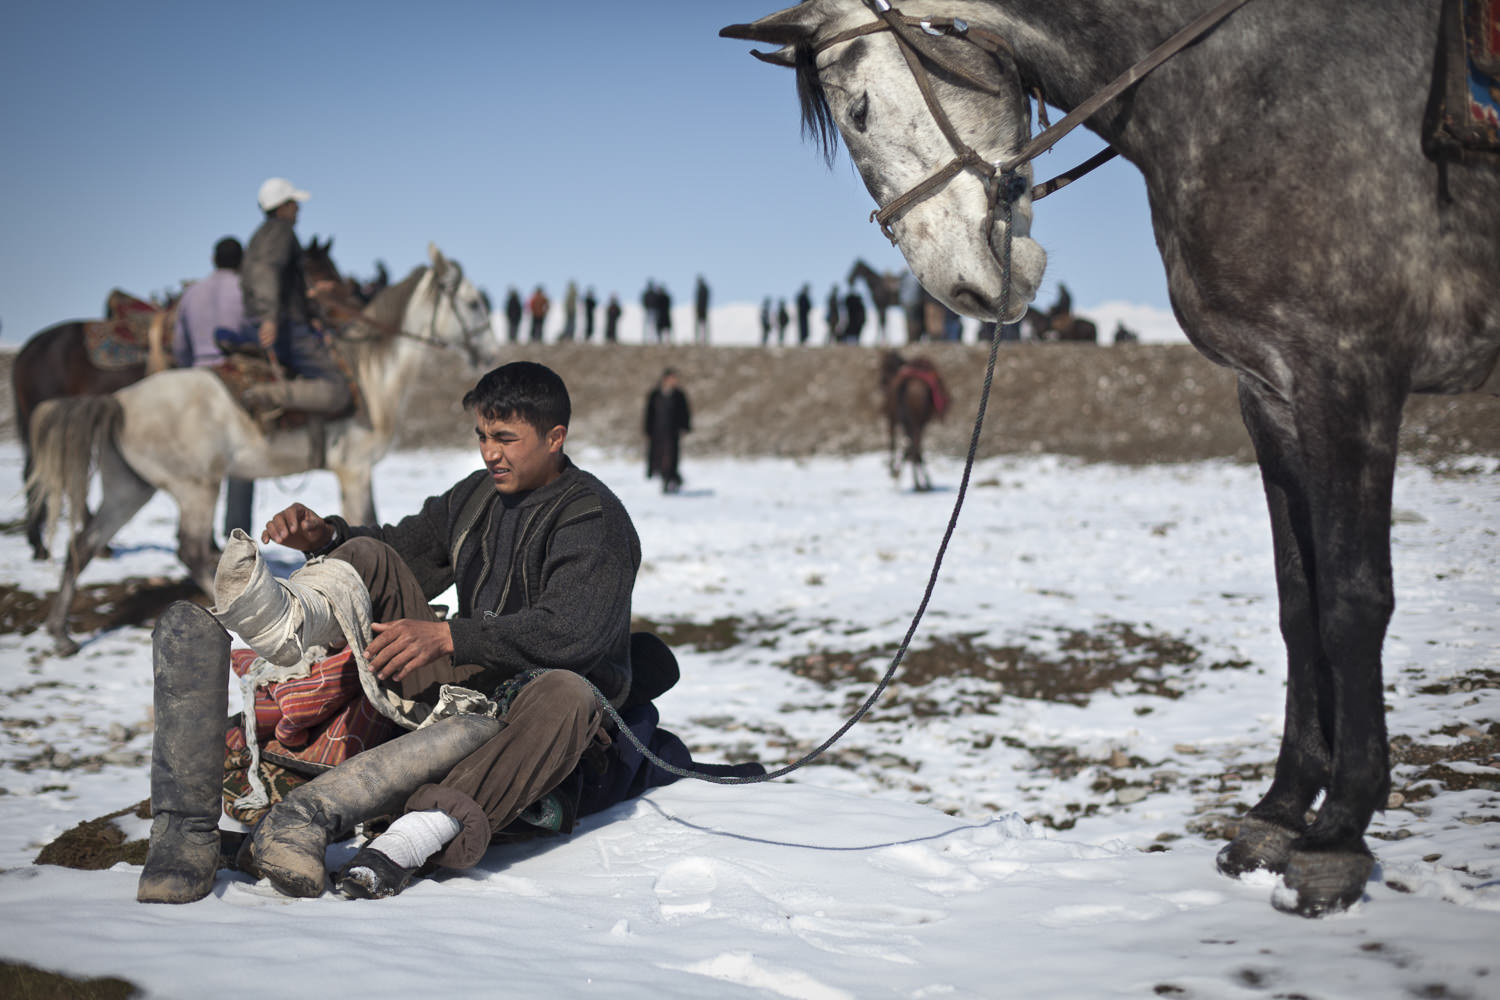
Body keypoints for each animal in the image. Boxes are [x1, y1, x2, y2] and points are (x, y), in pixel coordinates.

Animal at [30, 242, 498, 656]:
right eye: (474, 303)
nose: (489, 351)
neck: (370, 373)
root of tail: (119, 401)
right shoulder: (355, 469)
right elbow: (367, 518)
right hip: (196, 488)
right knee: (190, 550)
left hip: (128, 489)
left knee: (83, 545)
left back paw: (59, 633)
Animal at [876, 352, 942, 491]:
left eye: (883, 369)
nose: (881, 384)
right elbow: (915, 447)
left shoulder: (896, 419)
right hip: (914, 422)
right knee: (913, 443)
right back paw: (918, 482)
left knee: (902, 442)